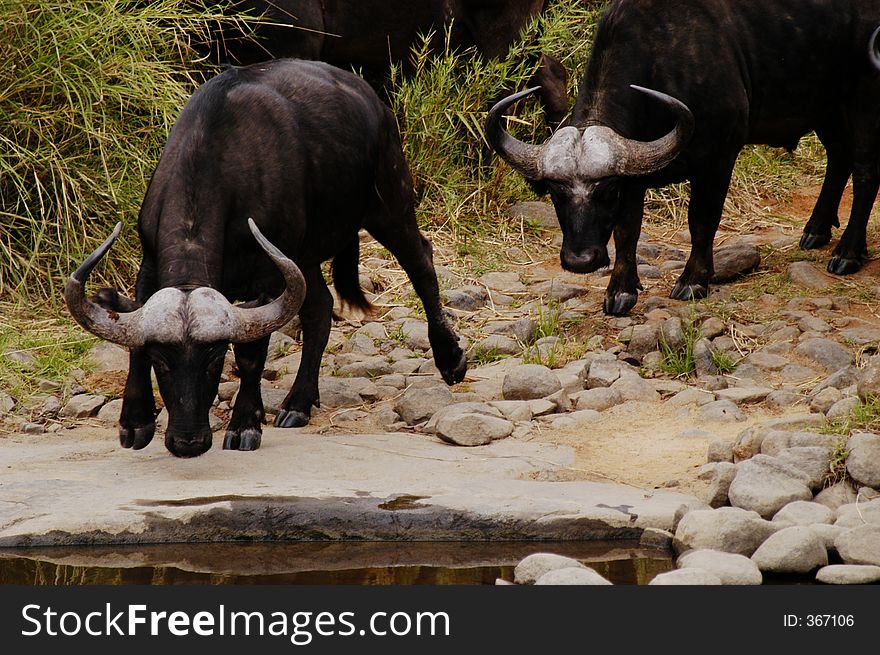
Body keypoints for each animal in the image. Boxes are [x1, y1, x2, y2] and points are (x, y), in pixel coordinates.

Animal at [66, 62, 468, 462]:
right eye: (162, 362)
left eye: (214, 360)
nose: (188, 442)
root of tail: (374, 102)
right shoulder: (150, 265)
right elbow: (134, 340)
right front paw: (135, 422)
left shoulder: (268, 278)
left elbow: (251, 356)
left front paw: (245, 424)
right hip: (306, 256)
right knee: (320, 308)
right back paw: (298, 404)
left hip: (391, 204)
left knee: (421, 264)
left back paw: (450, 359)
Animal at [484, 0, 880, 318]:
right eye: (555, 192)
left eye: (606, 191)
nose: (580, 261)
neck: (661, 62)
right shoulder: (635, 175)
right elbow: (628, 230)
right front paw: (620, 290)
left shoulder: (718, 159)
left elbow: (702, 220)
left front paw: (693, 280)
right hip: (825, 108)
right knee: (840, 158)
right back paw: (816, 229)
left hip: (862, 99)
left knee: (864, 173)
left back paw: (847, 253)